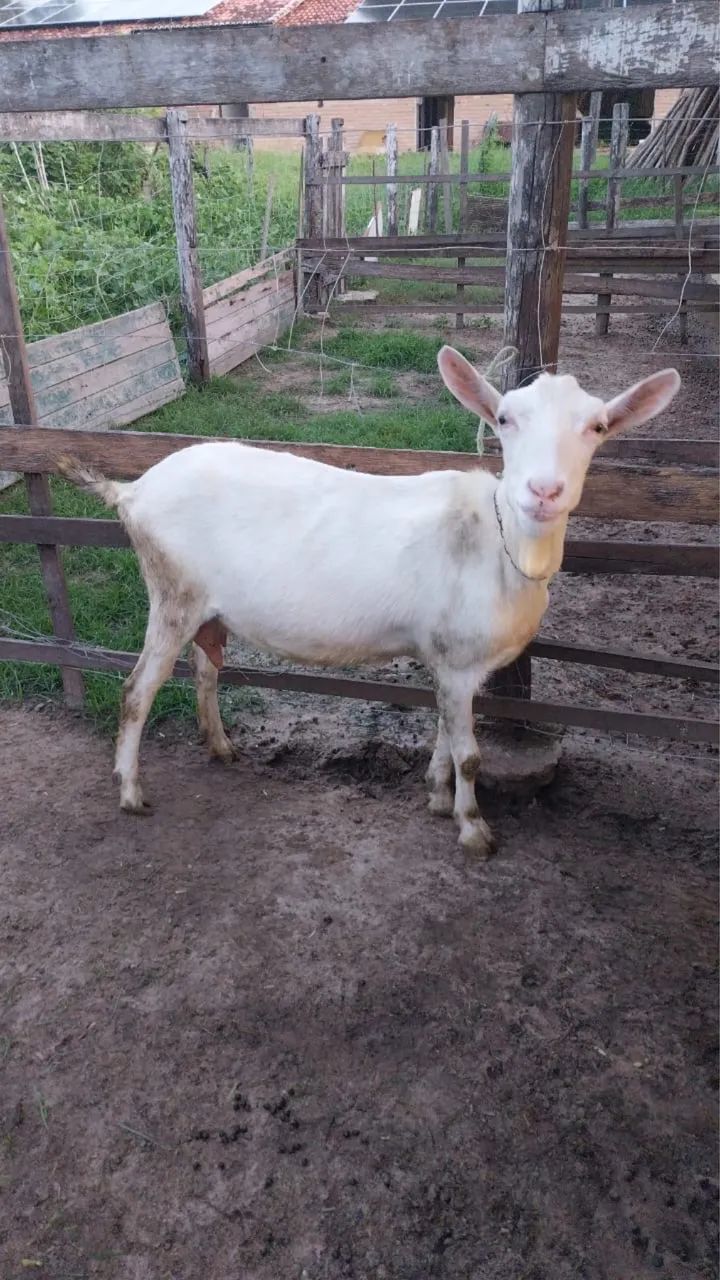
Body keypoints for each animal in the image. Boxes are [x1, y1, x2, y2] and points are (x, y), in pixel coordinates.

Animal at [60, 348, 680, 855]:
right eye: (504, 419)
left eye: (598, 426)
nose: (544, 491)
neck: (500, 544)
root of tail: (132, 491)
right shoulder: (458, 658)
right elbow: (471, 754)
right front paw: (474, 830)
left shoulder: (450, 661)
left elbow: (445, 734)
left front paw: (437, 797)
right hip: (172, 590)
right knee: (137, 691)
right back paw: (131, 791)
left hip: (206, 607)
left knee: (205, 669)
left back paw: (220, 747)